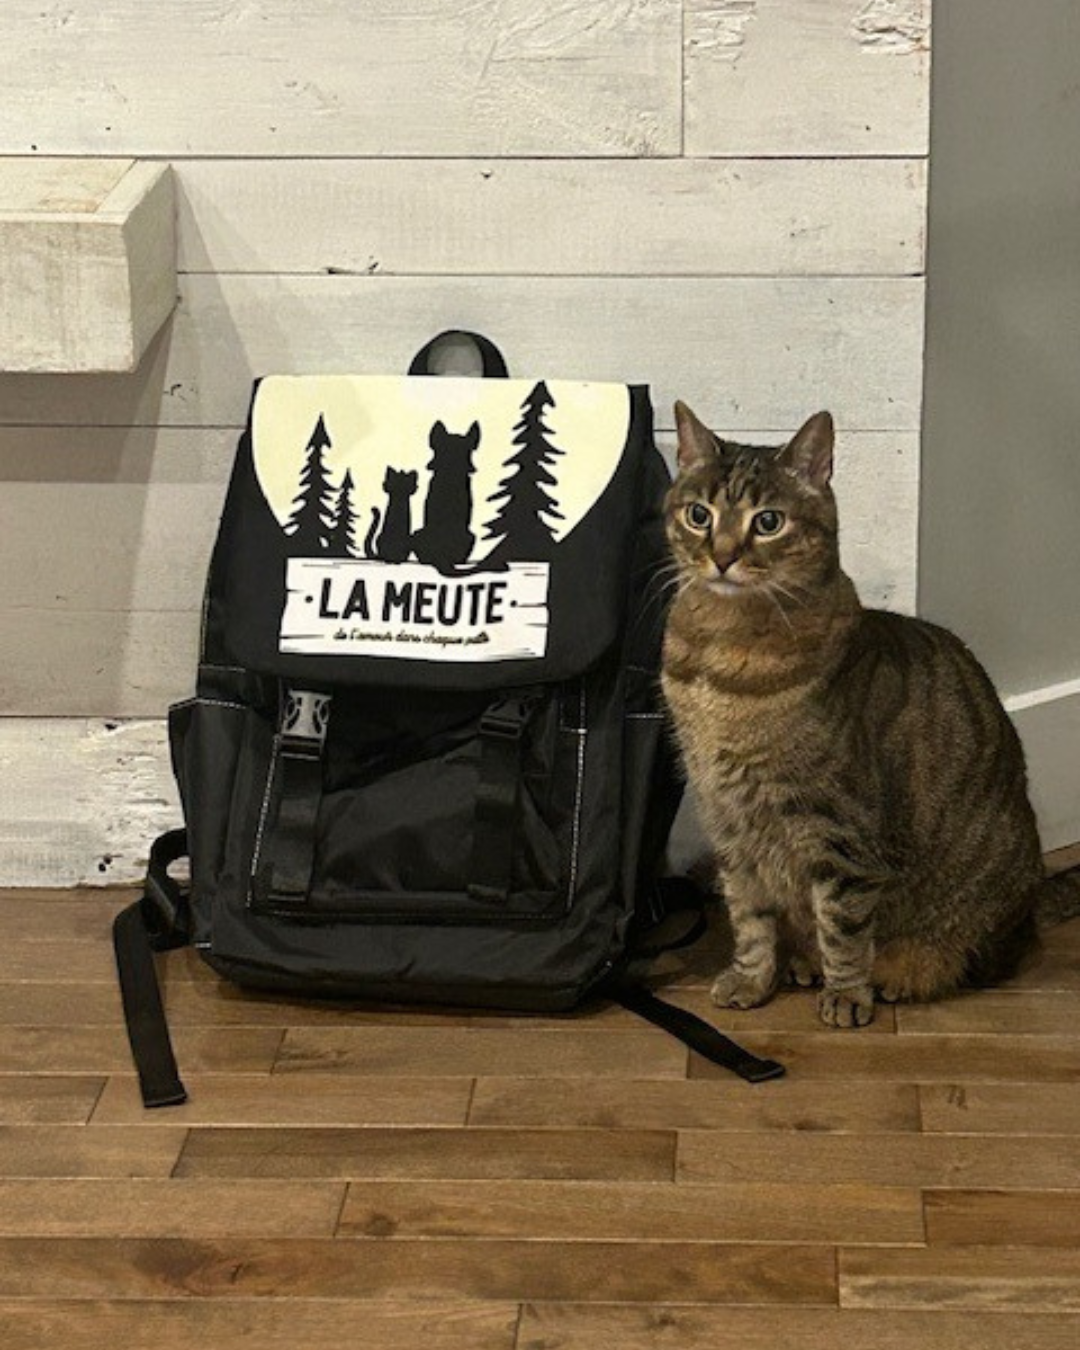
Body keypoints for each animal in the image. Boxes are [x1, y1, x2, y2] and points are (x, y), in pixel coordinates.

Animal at [661, 401, 1080, 1028]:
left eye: (768, 522)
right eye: (698, 514)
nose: (723, 556)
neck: (722, 655)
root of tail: (1032, 896)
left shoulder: (840, 831)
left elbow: (842, 924)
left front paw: (846, 994)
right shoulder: (730, 823)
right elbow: (749, 915)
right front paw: (752, 979)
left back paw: (895, 977)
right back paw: (800, 963)